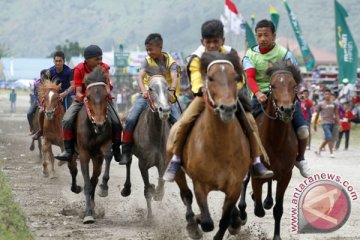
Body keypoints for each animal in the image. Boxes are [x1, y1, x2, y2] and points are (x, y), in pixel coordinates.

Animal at [66, 66, 112, 224]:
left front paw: (103, 188)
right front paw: (87, 215)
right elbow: (86, 184)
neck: (92, 128)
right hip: (73, 154)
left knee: (94, 179)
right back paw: (75, 188)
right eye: (88, 97)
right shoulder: (84, 154)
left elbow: (108, 155)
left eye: (106, 96)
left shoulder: (103, 148)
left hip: (97, 159)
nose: (100, 124)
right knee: (73, 170)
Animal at [166, 51, 250, 239]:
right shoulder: (200, 184)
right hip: (178, 171)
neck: (220, 147)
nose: (227, 108)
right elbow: (206, 222)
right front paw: (197, 221)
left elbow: (224, 220)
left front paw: (234, 223)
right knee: (186, 195)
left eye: (235, 77)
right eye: (210, 78)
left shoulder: (234, 186)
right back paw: (192, 223)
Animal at [238, 60, 302, 240]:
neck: (276, 141)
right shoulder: (256, 171)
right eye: (273, 86)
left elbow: (278, 209)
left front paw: (277, 236)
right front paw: (253, 203)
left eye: (294, 85)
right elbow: (258, 209)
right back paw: (242, 212)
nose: (286, 109)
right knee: (244, 183)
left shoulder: (286, 175)